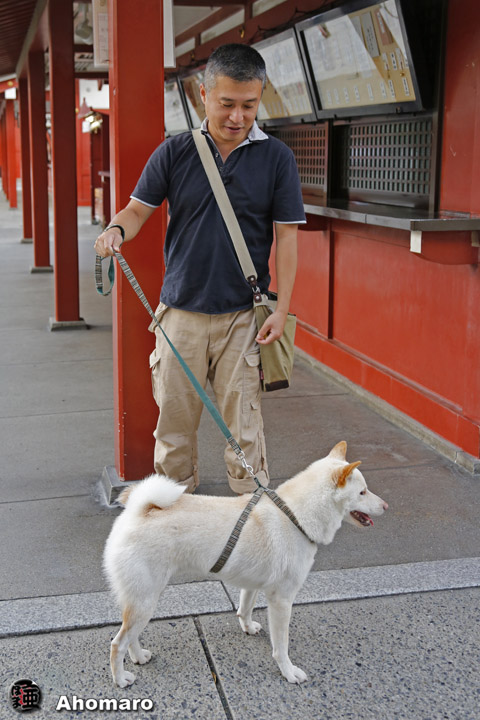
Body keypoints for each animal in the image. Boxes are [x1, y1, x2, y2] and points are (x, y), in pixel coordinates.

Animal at [104, 441, 388, 687]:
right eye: (362, 492)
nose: (386, 506)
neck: (295, 516)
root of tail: (139, 510)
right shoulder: (282, 600)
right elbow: (281, 646)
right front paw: (288, 672)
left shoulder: (252, 584)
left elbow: (245, 608)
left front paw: (248, 627)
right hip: (145, 600)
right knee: (118, 643)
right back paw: (120, 679)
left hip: (144, 599)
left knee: (130, 636)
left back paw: (139, 657)